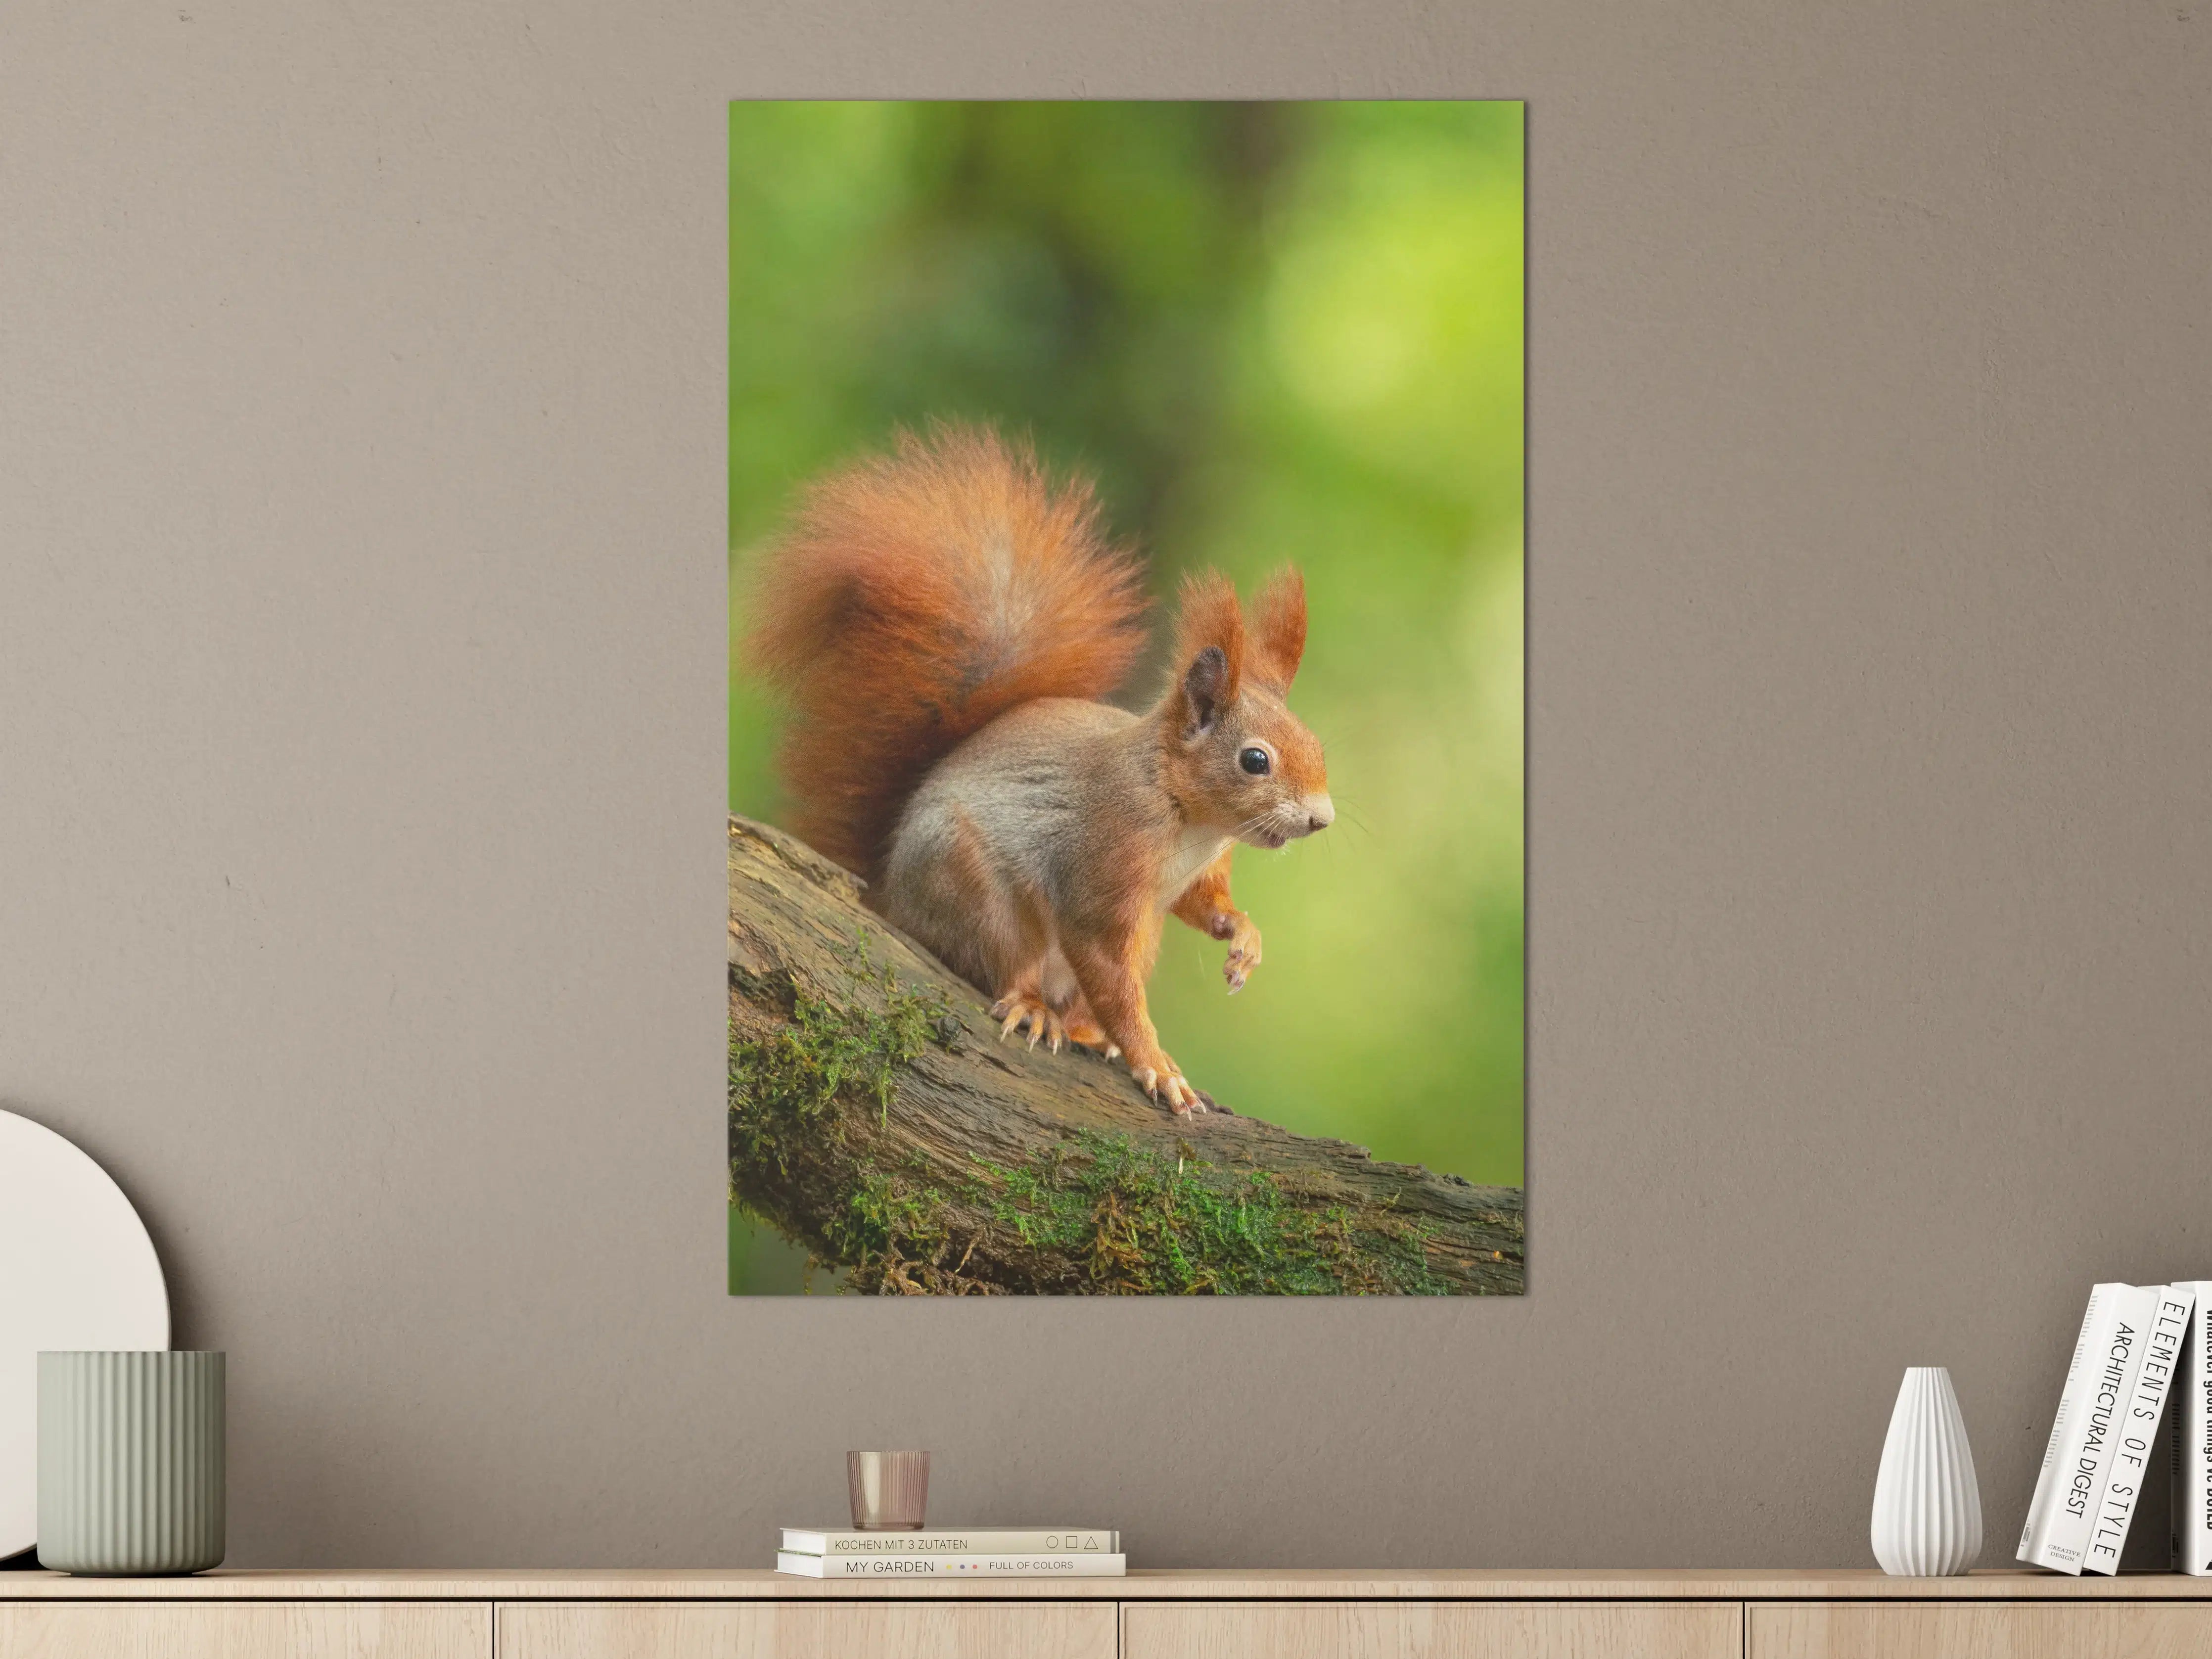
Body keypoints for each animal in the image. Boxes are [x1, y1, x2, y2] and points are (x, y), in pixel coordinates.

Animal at [747, 423, 1333, 1115]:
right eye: (1254, 760)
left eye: (1316, 745)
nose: (1321, 819)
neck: (1188, 818)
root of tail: (887, 895)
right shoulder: (1101, 866)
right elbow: (1108, 973)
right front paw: (1154, 1061)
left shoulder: (1194, 877)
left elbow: (1204, 907)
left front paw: (1243, 939)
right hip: (971, 890)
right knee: (1004, 966)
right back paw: (1034, 1008)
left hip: (1141, 937)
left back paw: (1083, 1031)